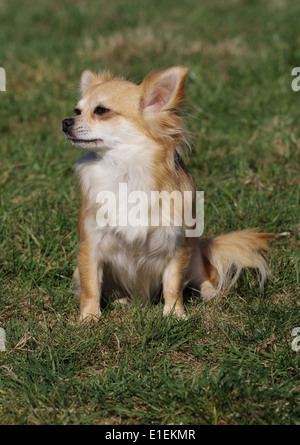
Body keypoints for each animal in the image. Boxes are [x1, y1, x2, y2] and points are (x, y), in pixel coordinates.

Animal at [62, 66, 274, 320]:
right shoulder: (90, 246)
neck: (126, 172)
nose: (65, 121)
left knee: (205, 278)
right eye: (77, 110)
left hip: (194, 254)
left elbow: (173, 284)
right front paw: (89, 318)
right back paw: (121, 300)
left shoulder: (177, 247)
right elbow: (91, 286)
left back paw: (211, 293)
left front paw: (174, 315)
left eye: (101, 111)